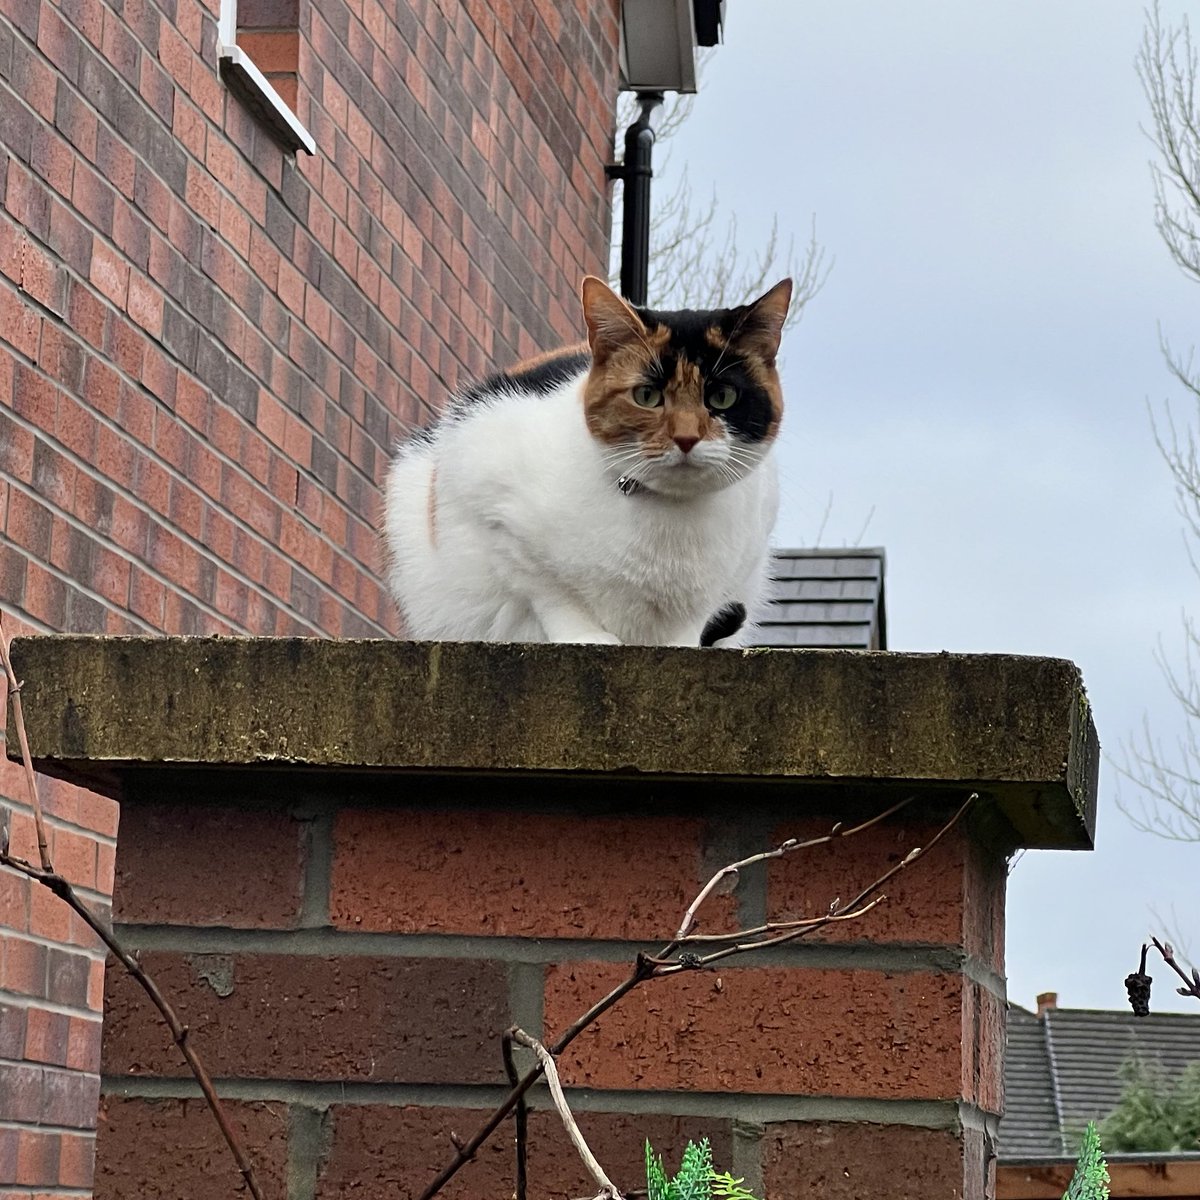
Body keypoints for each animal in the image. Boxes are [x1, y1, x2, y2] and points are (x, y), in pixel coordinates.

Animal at [381, 276, 787, 648]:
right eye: (647, 395)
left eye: (722, 397)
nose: (686, 437)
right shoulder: (492, 501)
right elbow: (550, 592)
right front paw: (586, 636)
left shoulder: (747, 551)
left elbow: (696, 617)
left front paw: (680, 645)